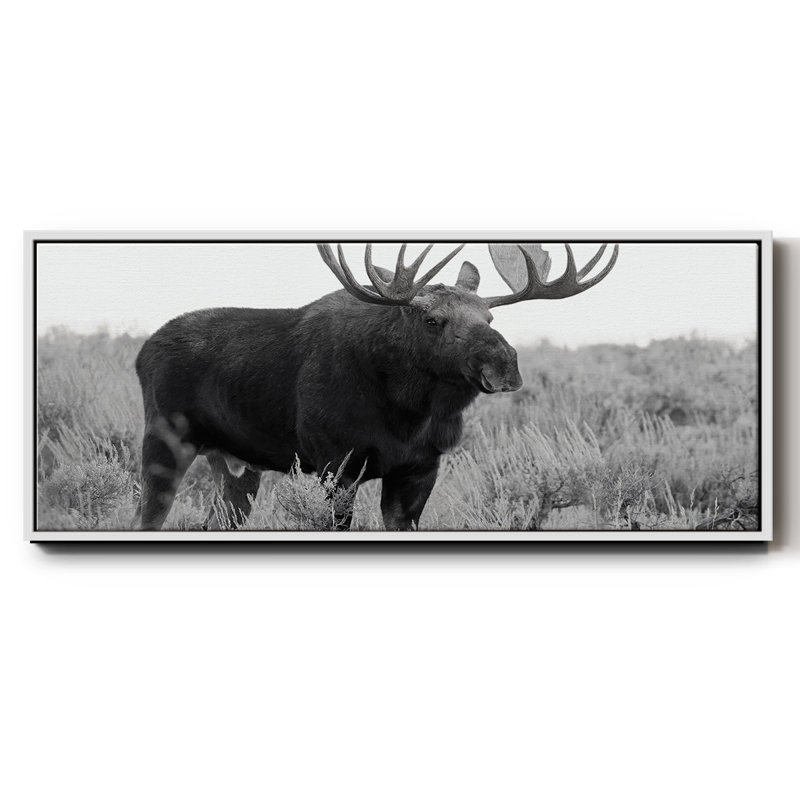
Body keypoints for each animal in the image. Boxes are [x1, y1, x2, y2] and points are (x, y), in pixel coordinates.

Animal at [133, 241, 618, 531]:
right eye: (433, 319)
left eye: (490, 316)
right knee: (147, 517)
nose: (504, 365)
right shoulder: (336, 464)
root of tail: (141, 352)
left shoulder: (421, 468)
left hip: (235, 464)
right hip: (164, 442)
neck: (407, 413)